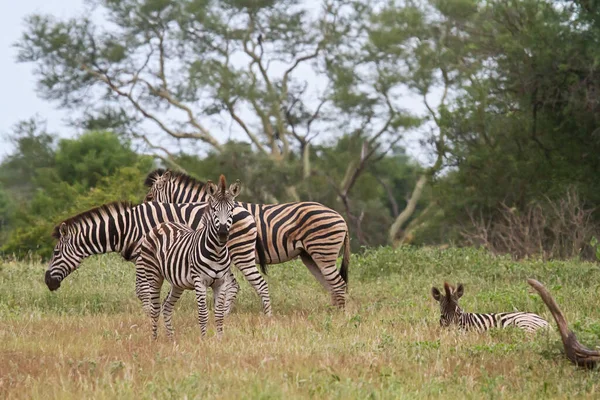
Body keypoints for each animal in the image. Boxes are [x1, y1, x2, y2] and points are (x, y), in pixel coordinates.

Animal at [45, 200, 270, 316]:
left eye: (56, 253)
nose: (47, 281)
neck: (124, 229)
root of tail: (245, 210)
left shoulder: (142, 257)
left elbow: (142, 290)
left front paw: (149, 315)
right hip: (222, 258)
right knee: (233, 286)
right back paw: (222, 315)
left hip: (241, 252)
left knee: (260, 284)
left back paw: (266, 318)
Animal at [136, 175, 239, 338]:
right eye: (214, 209)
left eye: (231, 210)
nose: (223, 234)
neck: (217, 251)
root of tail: (163, 224)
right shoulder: (199, 281)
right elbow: (203, 314)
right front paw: (204, 339)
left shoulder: (221, 282)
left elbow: (219, 315)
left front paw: (220, 339)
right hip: (154, 275)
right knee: (155, 308)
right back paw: (154, 338)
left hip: (177, 283)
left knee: (166, 306)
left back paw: (171, 338)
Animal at [145, 167, 350, 308]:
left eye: (149, 197)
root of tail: (341, 218)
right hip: (311, 256)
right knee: (332, 285)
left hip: (323, 252)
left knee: (338, 285)